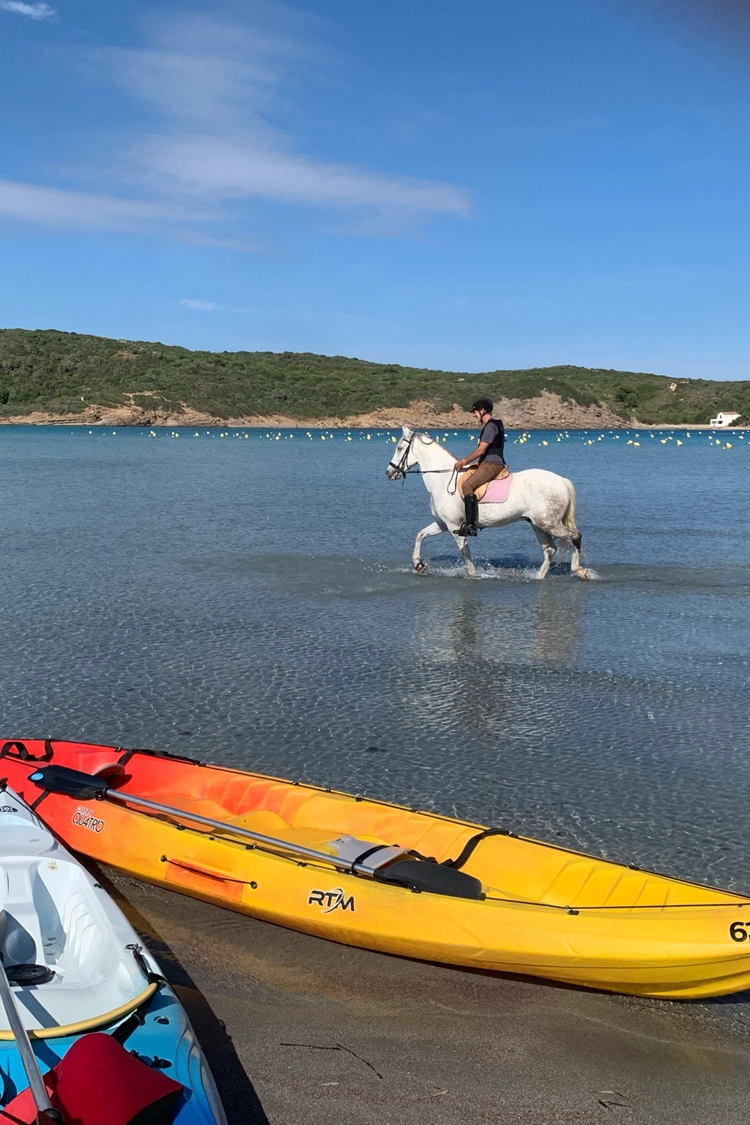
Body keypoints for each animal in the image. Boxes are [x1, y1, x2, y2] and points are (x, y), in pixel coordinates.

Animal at [385, 425, 590, 579]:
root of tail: (561, 480)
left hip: (549, 523)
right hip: (538, 524)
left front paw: (473, 575)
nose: (389, 472)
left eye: (399, 448)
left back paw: (580, 571)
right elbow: (420, 535)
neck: (443, 480)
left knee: (575, 537)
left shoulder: (454, 527)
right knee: (550, 550)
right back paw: (539, 577)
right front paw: (418, 564)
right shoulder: (442, 524)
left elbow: (465, 554)